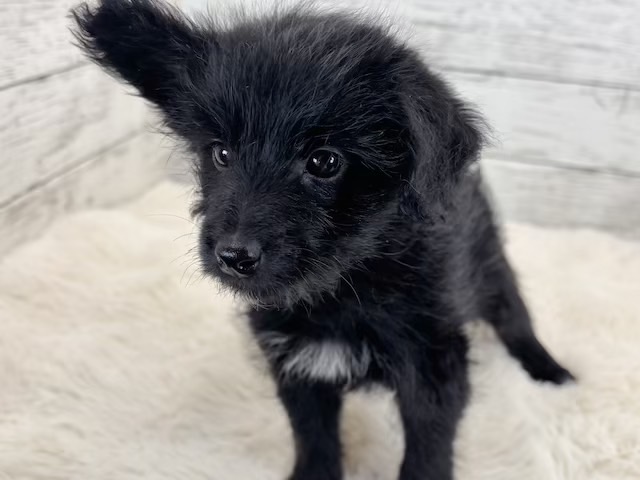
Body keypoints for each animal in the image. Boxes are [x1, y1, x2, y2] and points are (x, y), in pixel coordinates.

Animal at [72, 1, 574, 478]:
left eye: (325, 162)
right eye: (221, 153)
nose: (233, 255)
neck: (343, 287)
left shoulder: (432, 364)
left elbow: (429, 447)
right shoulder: (298, 364)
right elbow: (313, 437)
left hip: (489, 265)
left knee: (516, 317)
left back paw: (551, 373)